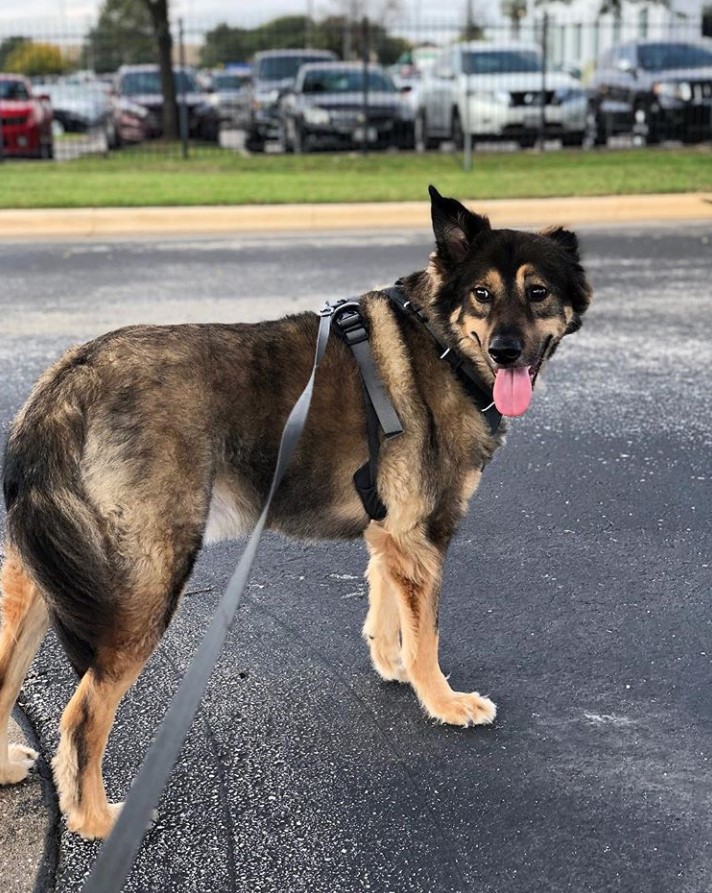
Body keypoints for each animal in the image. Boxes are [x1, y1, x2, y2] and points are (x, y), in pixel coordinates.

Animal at [0, 183, 588, 836]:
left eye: (537, 292)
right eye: (482, 294)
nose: (507, 351)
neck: (438, 340)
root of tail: (65, 381)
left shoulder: (392, 536)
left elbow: (388, 608)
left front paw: (394, 664)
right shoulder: (422, 536)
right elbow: (428, 635)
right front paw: (441, 699)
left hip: (36, 582)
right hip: (143, 589)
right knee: (81, 718)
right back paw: (98, 821)